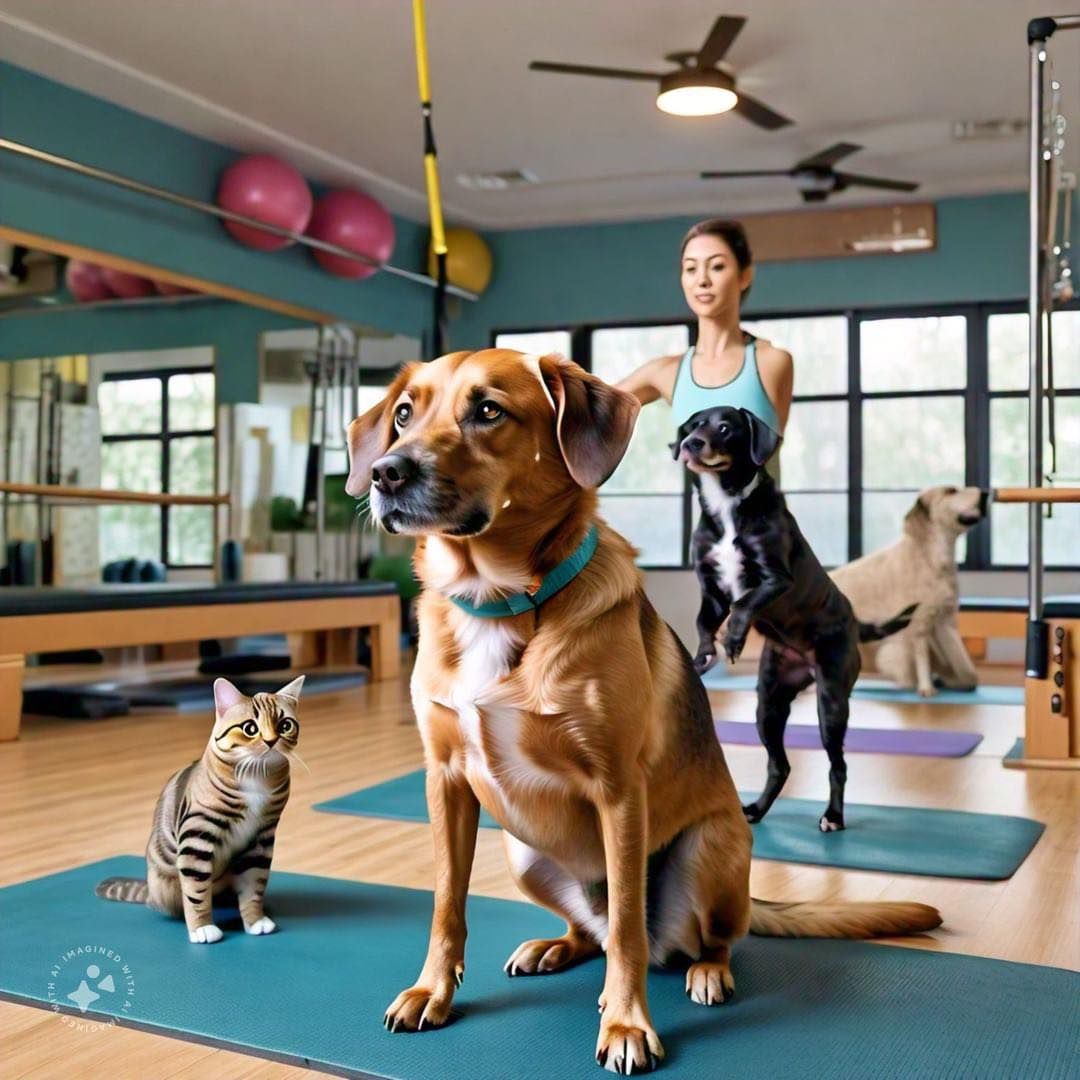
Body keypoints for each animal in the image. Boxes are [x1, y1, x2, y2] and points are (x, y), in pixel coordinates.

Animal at [95, 673, 304, 946]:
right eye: (250, 728)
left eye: (285, 725)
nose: (271, 741)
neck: (258, 774)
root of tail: (149, 891)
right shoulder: (198, 836)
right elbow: (196, 893)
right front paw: (202, 927)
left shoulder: (261, 840)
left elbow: (254, 886)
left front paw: (255, 920)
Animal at [673, 408, 911, 829]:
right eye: (695, 424)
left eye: (725, 427)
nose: (689, 444)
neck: (728, 503)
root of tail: (853, 622)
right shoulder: (711, 590)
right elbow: (704, 623)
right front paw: (704, 655)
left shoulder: (775, 579)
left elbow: (743, 604)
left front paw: (734, 639)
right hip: (769, 703)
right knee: (779, 765)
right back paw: (756, 809)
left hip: (831, 701)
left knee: (838, 764)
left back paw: (833, 816)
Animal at [829, 490, 989, 699]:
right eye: (951, 491)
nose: (985, 493)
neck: (931, 555)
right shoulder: (918, 623)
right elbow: (921, 658)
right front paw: (926, 687)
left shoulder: (946, 620)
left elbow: (964, 670)